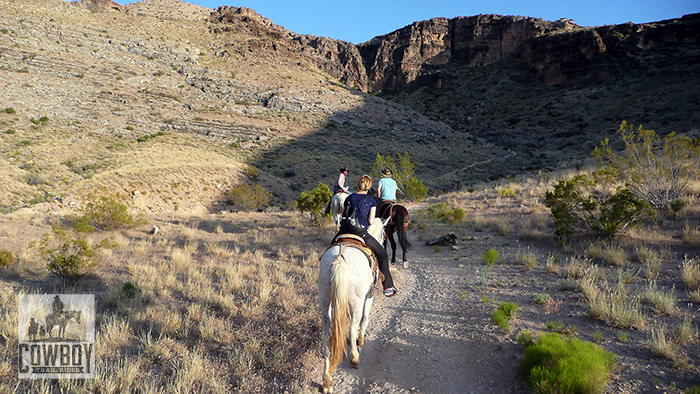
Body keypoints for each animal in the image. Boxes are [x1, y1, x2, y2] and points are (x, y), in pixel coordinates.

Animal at [318, 217, 388, 392]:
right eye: (384, 233)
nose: (384, 243)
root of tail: (340, 258)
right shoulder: (368, 297)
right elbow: (365, 319)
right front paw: (359, 341)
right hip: (357, 301)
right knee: (352, 328)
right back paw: (355, 359)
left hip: (325, 304)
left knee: (326, 339)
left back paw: (326, 381)